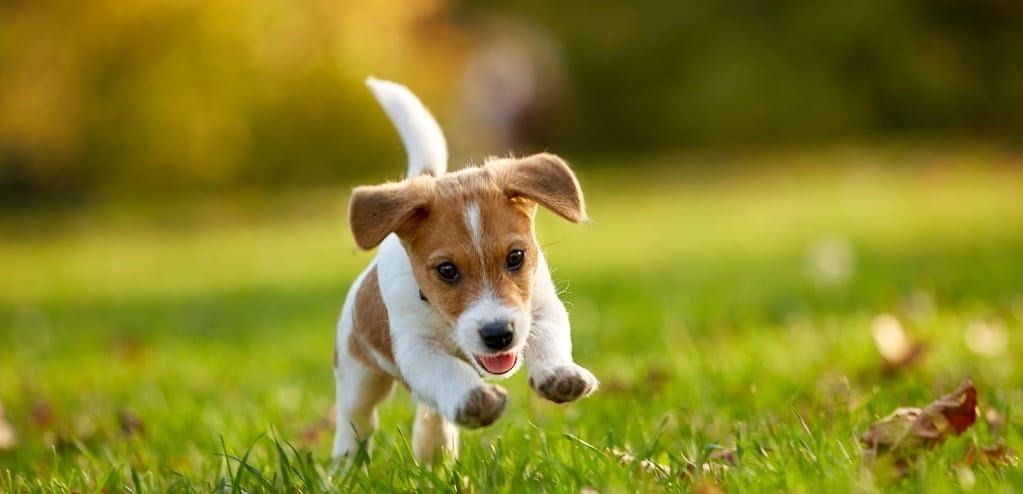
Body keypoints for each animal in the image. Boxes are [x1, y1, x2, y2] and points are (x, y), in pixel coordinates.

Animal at [331, 77, 597, 464]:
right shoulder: (415, 348)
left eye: (516, 257)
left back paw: (434, 457)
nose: (498, 335)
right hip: (357, 376)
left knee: (432, 414)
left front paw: (558, 373)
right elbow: (447, 370)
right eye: (446, 270)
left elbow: (549, 339)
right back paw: (345, 466)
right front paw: (474, 399)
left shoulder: (542, 308)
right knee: (355, 421)